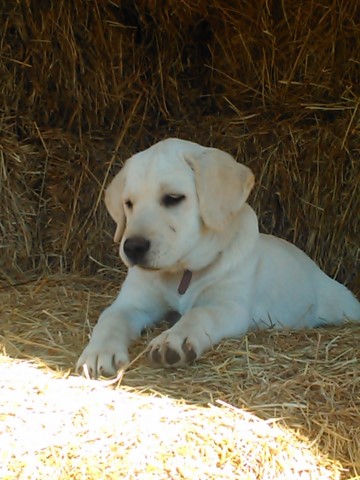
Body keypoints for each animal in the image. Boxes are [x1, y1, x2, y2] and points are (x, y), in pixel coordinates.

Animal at [77, 138, 360, 378]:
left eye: (173, 198)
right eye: (128, 203)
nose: (132, 248)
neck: (182, 274)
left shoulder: (231, 306)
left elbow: (199, 313)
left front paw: (174, 340)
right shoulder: (133, 302)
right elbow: (109, 318)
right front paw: (99, 352)